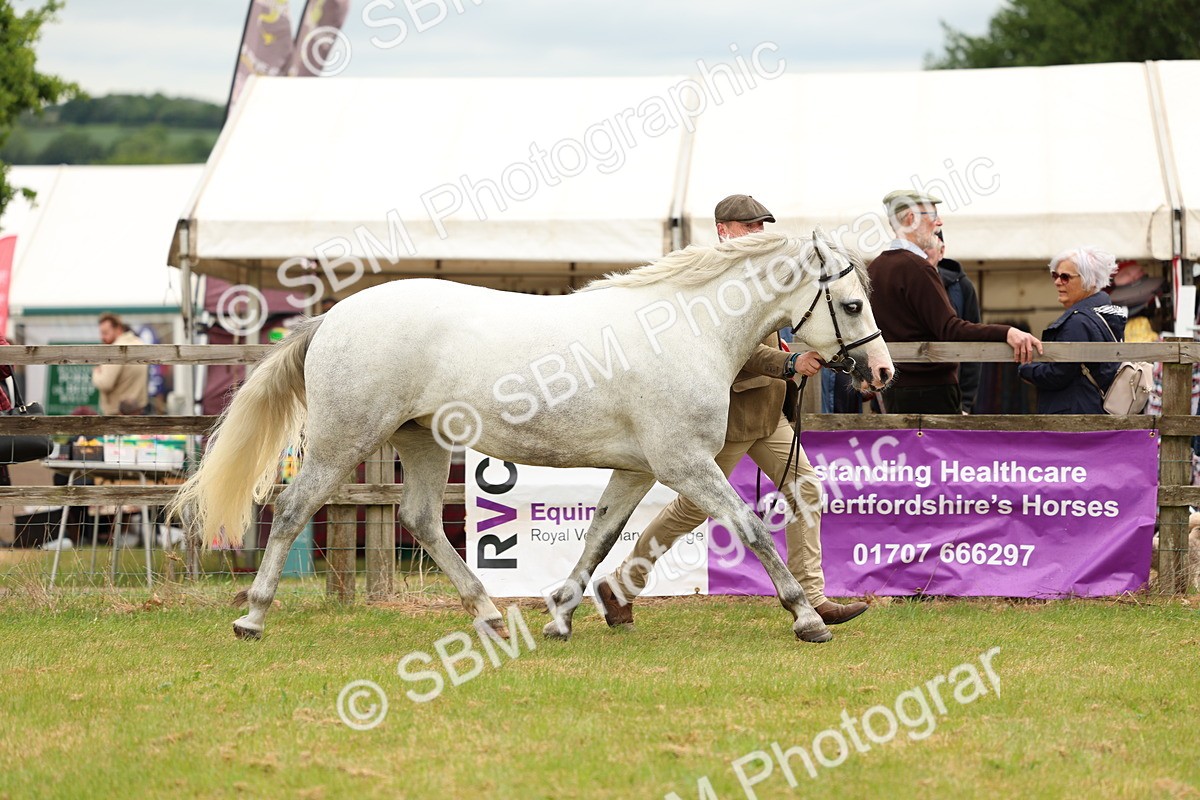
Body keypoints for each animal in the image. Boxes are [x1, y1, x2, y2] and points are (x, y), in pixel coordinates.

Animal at [170, 231, 894, 643]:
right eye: (853, 303)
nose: (883, 372)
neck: (685, 330)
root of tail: (334, 316)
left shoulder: (640, 469)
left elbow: (600, 538)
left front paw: (561, 617)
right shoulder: (686, 463)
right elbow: (749, 527)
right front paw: (807, 618)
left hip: (422, 441)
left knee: (421, 519)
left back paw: (489, 615)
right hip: (342, 439)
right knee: (293, 509)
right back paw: (251, 617)